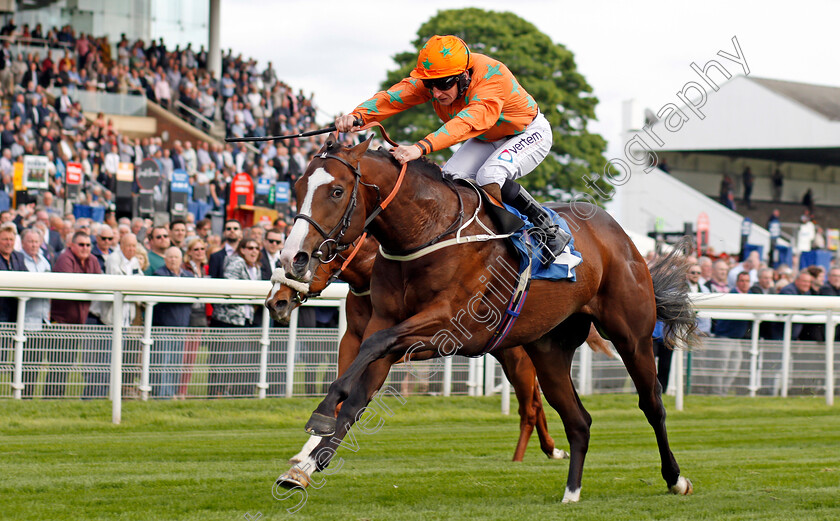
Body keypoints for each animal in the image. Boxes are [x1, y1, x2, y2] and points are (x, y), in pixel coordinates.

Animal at [268, 236, 612, 464]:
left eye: (305, 258)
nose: (275, 302)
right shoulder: (351, 340)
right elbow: (341, 392)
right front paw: (307, 451)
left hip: (518, 359)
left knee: (530, 406)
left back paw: (527, 456)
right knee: (536, 402)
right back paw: (550, 449)